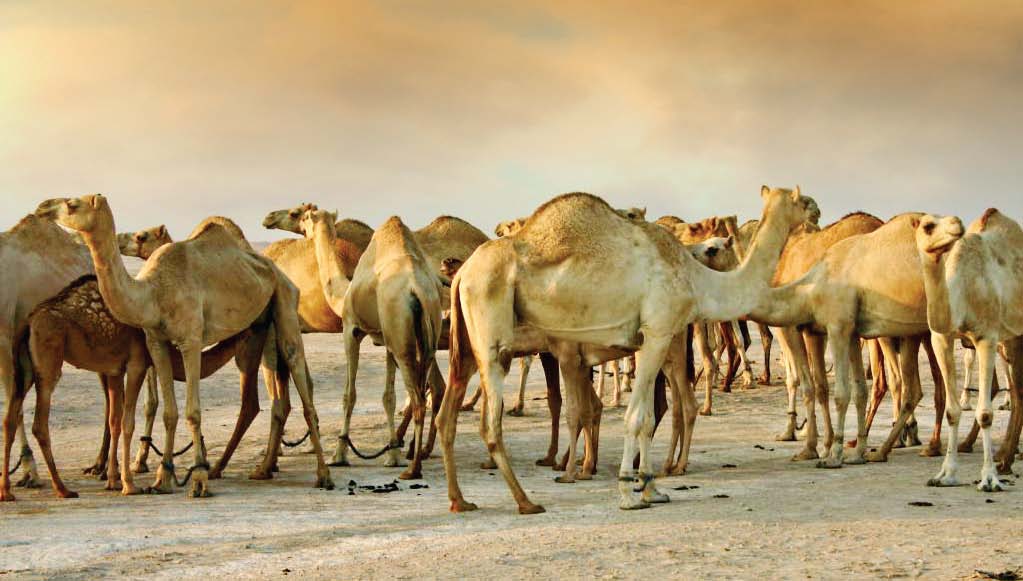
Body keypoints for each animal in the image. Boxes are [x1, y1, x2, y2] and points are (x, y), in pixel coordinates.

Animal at [0, 276, 245, 499]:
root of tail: (28, 323)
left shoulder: (114, 370)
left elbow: (114, 420)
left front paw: (113, 481)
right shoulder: (136, 363)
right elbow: (128, 423)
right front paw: (129, 484)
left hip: (25, 369)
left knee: (10, 418)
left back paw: (7, 492)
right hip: (48, 361)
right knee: (40, 424)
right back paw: (62, 489)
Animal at [34, 194, 331, 495]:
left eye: (72, 204)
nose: (42, 207)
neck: (154, 294)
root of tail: (274, 269)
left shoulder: (191, 340)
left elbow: (193, 411)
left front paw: (198, 479)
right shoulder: (156, 342)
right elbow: (169, 412)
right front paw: (163, 478)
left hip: (284, 300)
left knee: (298, 376)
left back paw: (323, 475)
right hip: (258, 326)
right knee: (260, 396)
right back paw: (251, 470)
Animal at [435, 186, 810, 513]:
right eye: (801, 199)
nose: (815, 210)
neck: (695, 277)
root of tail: (462, 274)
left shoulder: (644, 340)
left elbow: (644, 416)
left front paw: (650, 489)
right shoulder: (655, 332)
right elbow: (633, 417)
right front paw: (628, 493)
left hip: (469, 342)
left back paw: (462, 501)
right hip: (490, 323)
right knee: (489, 421)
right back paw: (525, 502)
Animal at [912, 208, 1023, 490]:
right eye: (928, 225)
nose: (956, 223)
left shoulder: (986, 337)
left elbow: (985, 413)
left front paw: (989, 478)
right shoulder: (942, 339)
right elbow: (952, 411)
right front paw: (945, 474)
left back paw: (1004, 463)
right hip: (1010, 337)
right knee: (1018, 391)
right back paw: (1006, 461)